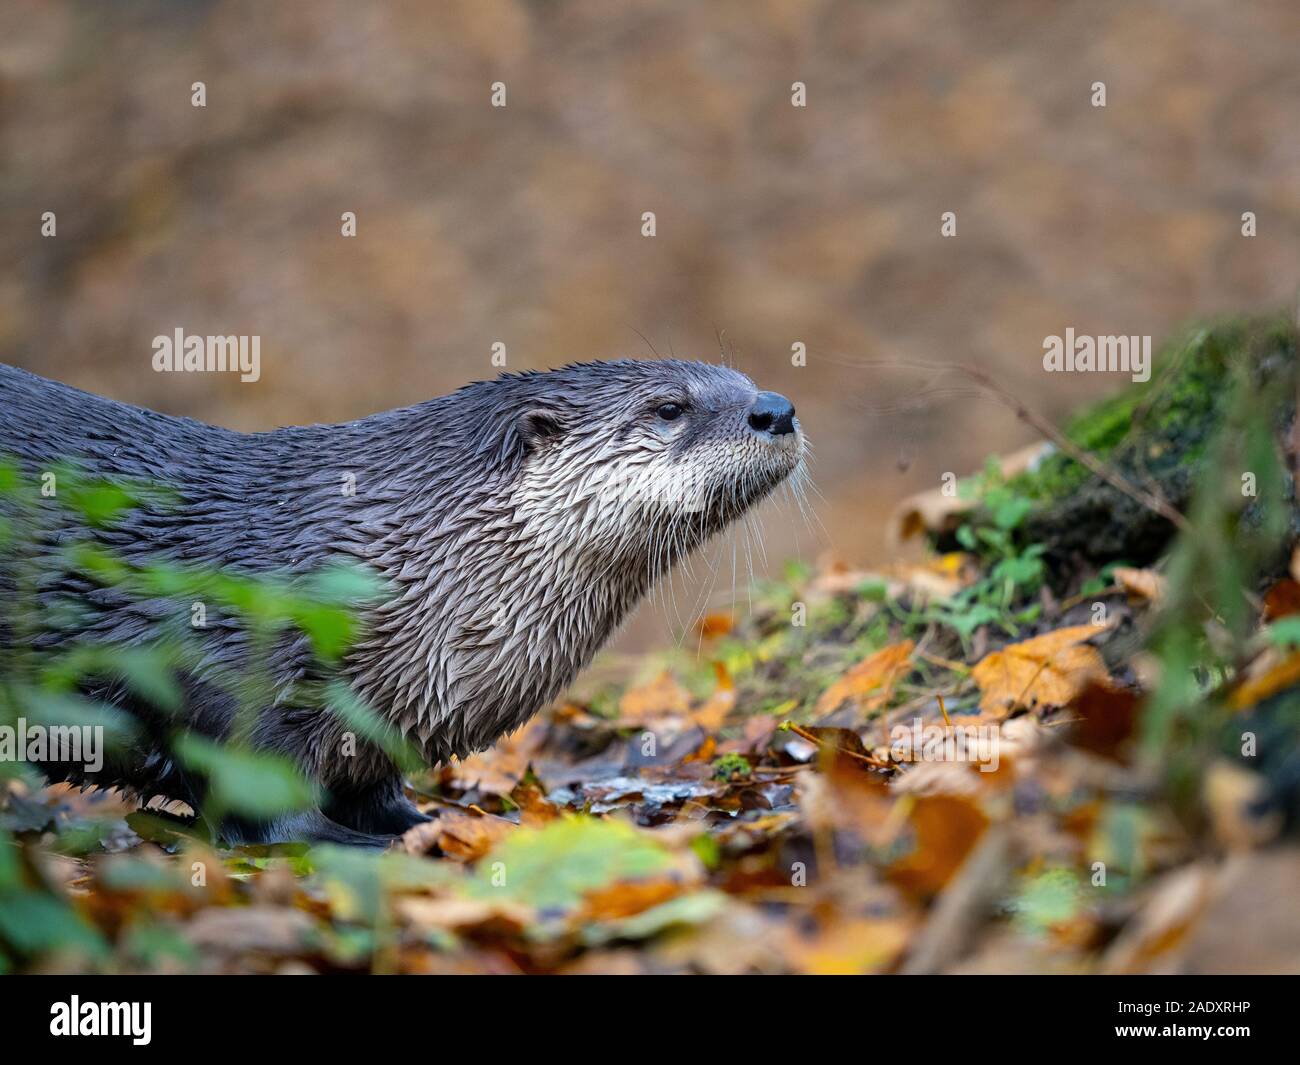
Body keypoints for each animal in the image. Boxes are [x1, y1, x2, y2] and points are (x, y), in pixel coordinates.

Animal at [0, 360, 804, 846]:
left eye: (742, 379)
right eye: (670, 408)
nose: (777, 408)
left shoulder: (385, 716)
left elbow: (376, 789)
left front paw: (426, 823)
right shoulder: (224, 671)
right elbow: (255, 790)